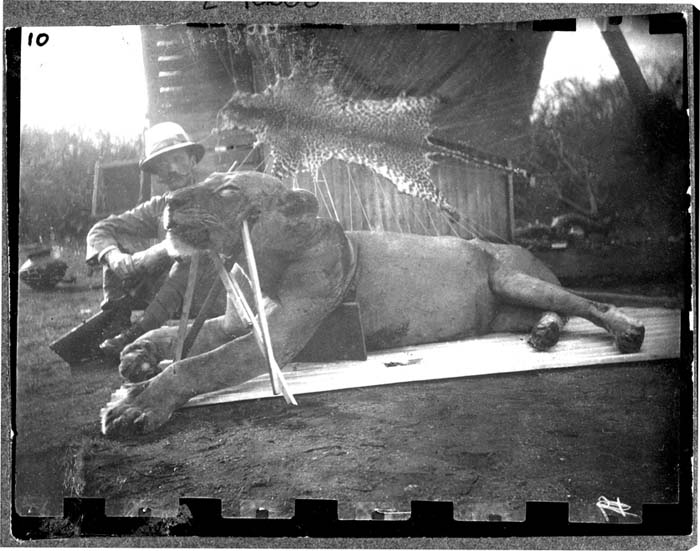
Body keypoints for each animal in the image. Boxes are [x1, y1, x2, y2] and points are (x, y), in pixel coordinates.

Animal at [100, 170, 644, 438]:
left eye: (229, 190)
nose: (168, 201)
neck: (263, 260)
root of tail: (527, 250)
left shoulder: (280, 337)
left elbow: (197, 364)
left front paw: (136, 404)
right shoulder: (239, 322)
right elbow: (178, 336)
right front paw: (137, 354)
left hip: (513, 279)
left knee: (584, 303)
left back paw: (627, 331)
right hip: (506, 308)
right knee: (557, 314)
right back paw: (544, 334)